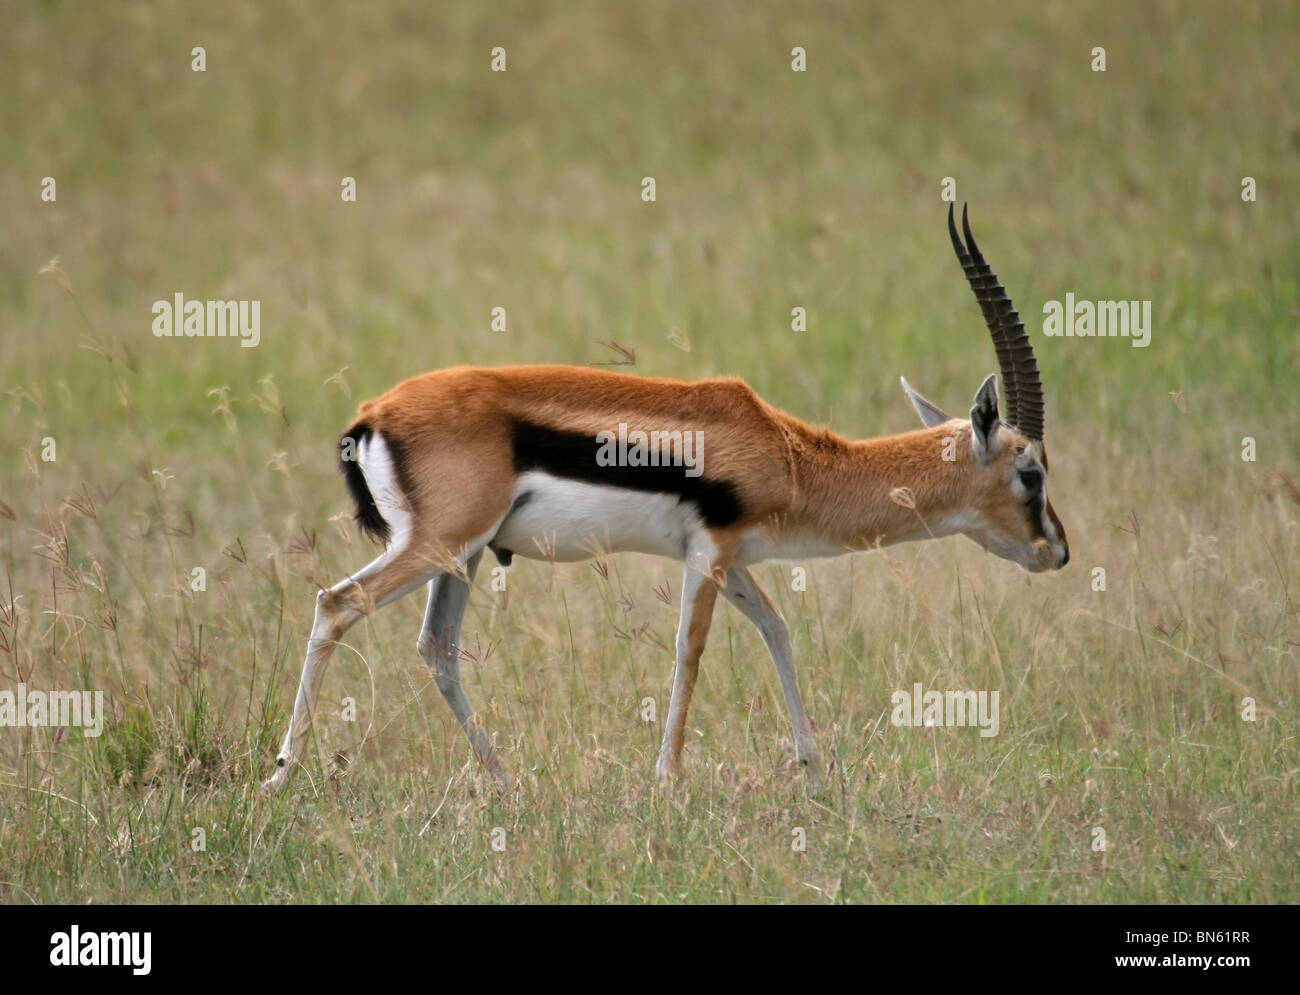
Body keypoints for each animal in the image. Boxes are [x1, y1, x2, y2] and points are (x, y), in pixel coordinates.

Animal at [263, 204, 1068, 791]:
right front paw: (668, 779)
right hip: (438, 546)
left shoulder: (729, 555)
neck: (788, 454)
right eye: (1031, 471)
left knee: (436, 648)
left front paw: (812, 767)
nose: (1057, 551)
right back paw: (282, 775)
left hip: (461, 557)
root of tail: (372, 414)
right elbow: (691, 648)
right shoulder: (710, 550)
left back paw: (505, 780)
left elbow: (777, 630)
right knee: (336, 604)